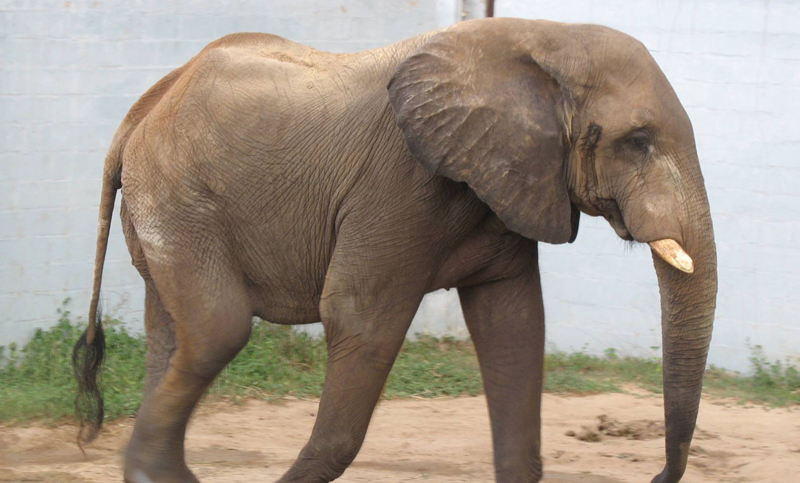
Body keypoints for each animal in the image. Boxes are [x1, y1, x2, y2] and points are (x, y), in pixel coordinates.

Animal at [72, 17, 717, 483]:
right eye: (638, 141)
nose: (656, 476)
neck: (545, 36)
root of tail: (145, 106)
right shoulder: (399, 185)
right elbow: (362, 320)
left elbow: (513, 324)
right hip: (179, 198)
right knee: (216, 330)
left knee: (172, 335)